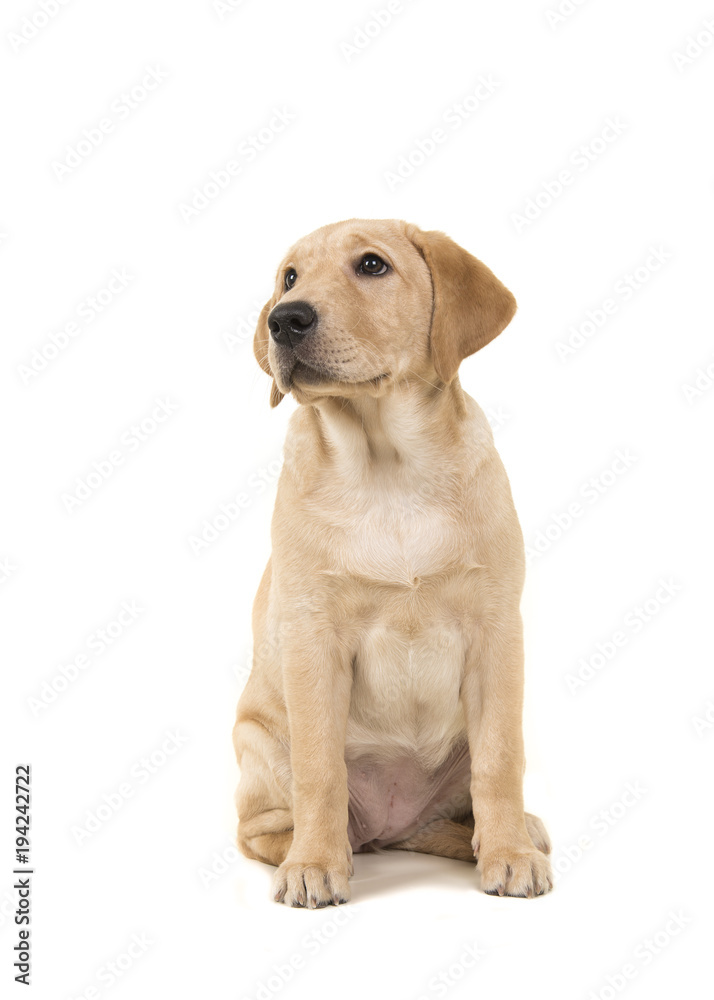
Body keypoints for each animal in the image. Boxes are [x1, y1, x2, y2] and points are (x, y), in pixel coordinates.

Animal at [234, 217, 552, 908]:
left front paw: (510, 853)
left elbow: (501, 759)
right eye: (289, 277)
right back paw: (311, 852)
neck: (388, 469)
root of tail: (390, 828)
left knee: (455, 814)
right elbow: (321, 770)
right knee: (264, 829)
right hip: (258, 739)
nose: (284, 319)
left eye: (372, 266)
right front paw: (314, 865)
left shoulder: (495, 632)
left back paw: (508, 833)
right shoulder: (314, 638)